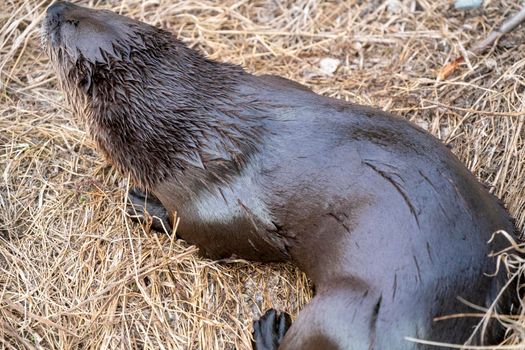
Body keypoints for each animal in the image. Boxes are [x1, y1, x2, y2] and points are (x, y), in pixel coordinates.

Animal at [43, 1, 516, 348]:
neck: (193, 131)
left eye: (69, 24)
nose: (54, 6)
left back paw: (268, 330)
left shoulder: (215, 199)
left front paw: (144, 204)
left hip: (345, 315)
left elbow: (205, 233)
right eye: (102, 10)